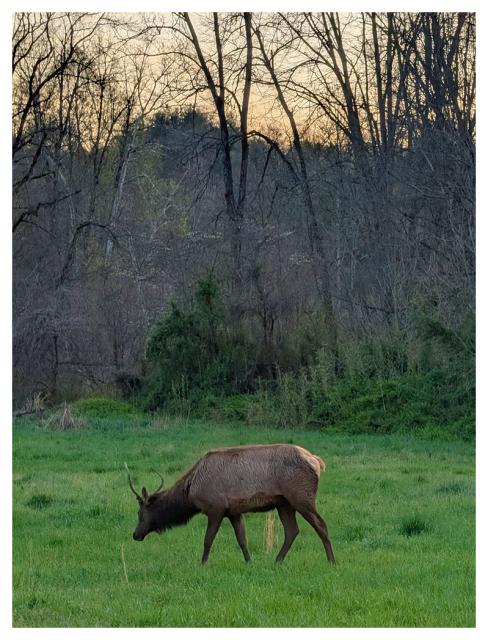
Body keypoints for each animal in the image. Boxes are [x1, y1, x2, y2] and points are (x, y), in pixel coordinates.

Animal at [125, 443, 335, 564]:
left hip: (301, 497)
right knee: (292, 530)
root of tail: (317, 462)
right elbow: (242, 540)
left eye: (140, 513)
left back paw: (331, 561)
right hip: (283, 503)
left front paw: (202, 564)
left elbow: (207, 539)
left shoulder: (216, 508)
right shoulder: (234, 511)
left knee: (321, 524)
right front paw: (249, 562)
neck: (191, 494)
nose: (135, 534)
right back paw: (277, 561)